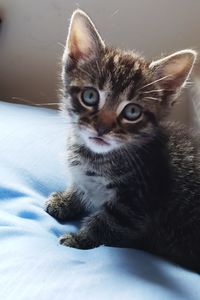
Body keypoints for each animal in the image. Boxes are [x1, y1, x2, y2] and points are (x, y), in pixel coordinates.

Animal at [45, 9, 200, 272]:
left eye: (132, 112)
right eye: (90, 96)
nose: (102, 128)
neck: (95, 158)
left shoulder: (135, 203)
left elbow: (106, 223)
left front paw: (78, 239)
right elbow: (81, 187)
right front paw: (65, 201)